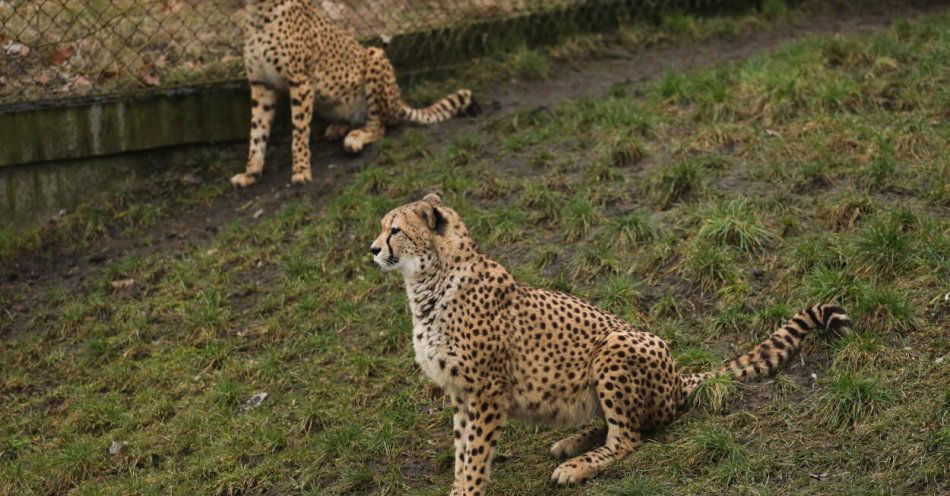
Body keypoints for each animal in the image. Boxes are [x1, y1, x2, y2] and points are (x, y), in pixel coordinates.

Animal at [234, 0, 480, 187]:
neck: (258, 11)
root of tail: (399, 102)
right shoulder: (261, 85)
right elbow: (257, 133)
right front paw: (251, 173)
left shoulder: (300, 82)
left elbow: (299, 133)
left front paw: (301, 171)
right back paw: (339, 127)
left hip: (374, 54)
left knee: (379, 126)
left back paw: (356, 138)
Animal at [372, 193, 856, 492]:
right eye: (383, 228)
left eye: (395, 230)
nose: (373, 249)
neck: (429, 282)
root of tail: (678, 375)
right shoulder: (461, 393)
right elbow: (461, 450)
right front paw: (459, 485)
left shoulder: (485, 391)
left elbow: (474, 453)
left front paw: (468, 490)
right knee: (619, 425)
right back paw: (572, 441)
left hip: (615, 345)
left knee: (630, 438)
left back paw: (574, 466)